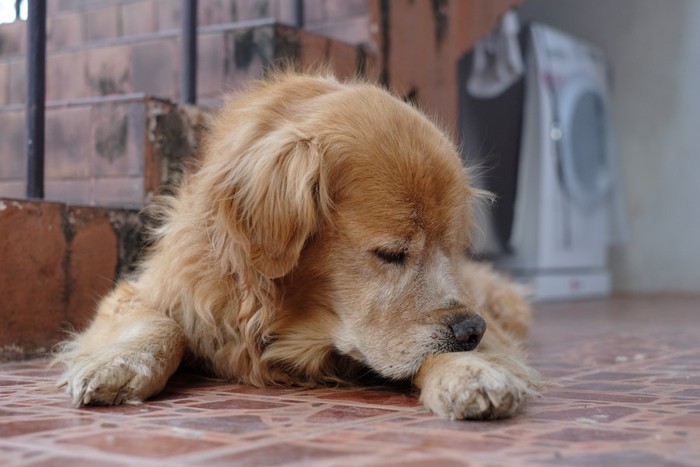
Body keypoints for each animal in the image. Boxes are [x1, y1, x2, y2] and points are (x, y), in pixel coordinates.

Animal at [57, 72, 540, 420]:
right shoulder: (148, 290)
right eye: (390, 254)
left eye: (450, 250)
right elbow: (162, 325)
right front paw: (118, 364)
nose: (471, 330)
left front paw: (472, 371)